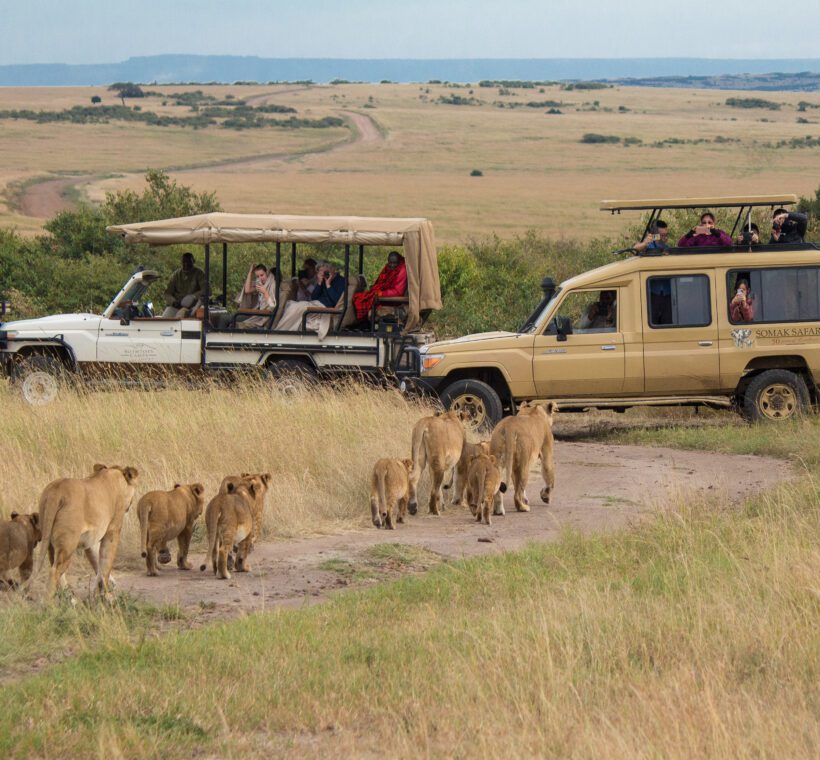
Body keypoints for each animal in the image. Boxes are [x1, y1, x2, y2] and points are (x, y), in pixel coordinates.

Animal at [36, 464, 139, 600]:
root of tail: (56, 490)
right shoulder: (112, 531)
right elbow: (106, 564)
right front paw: (107, 596)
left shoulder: (91, 540)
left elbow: (98, 564)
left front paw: (101, 591)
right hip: (69, 542)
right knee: (55, 571)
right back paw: (49, 603)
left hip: (49, 539)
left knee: (57, 568)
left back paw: (71, 599)